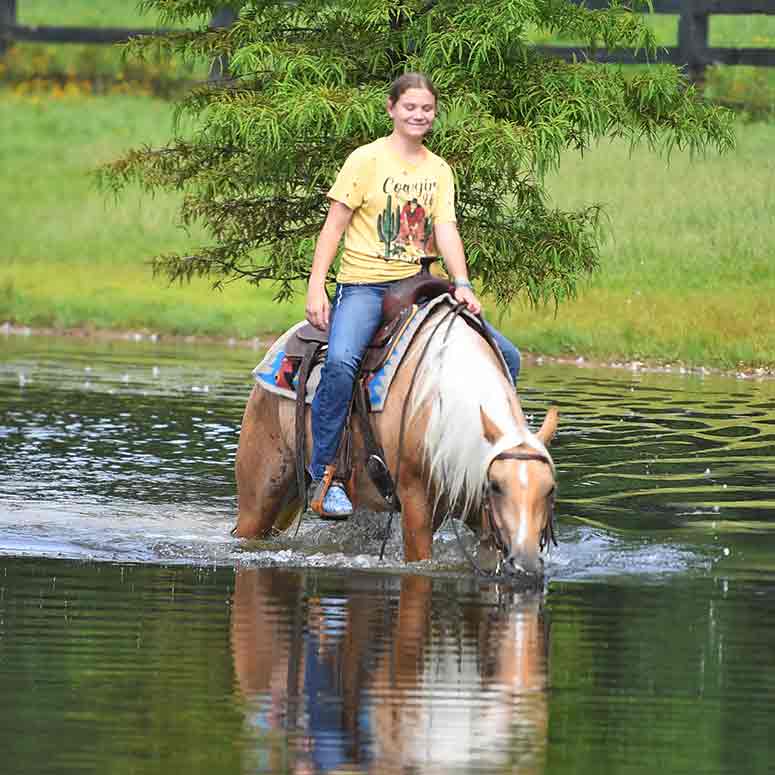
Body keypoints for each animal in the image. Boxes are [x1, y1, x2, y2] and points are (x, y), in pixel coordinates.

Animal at [232, 304, 556, 576]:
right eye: (496, 486)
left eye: (550, 489)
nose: (527, 562)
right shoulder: (416, 504)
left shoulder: (480, 513)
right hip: (260, 496)